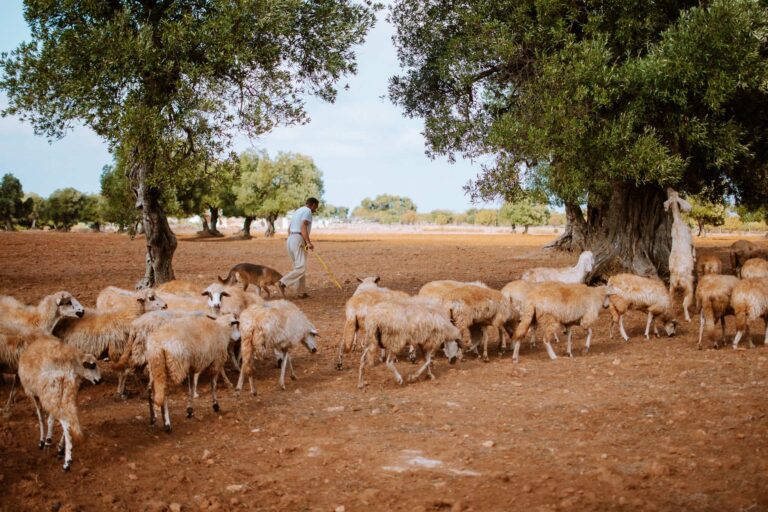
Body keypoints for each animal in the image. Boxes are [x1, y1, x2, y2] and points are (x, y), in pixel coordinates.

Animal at [18, 337, 101, 471]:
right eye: (92, 366)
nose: (100, 380)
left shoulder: (33, 393)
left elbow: (42, 417)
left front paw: (43, 441)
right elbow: (50, 419)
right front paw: (50, 442)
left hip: (51, 394)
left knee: (65, 422)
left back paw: (67, 461)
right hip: (67, 393)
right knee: (71, 419)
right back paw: (62, 449)